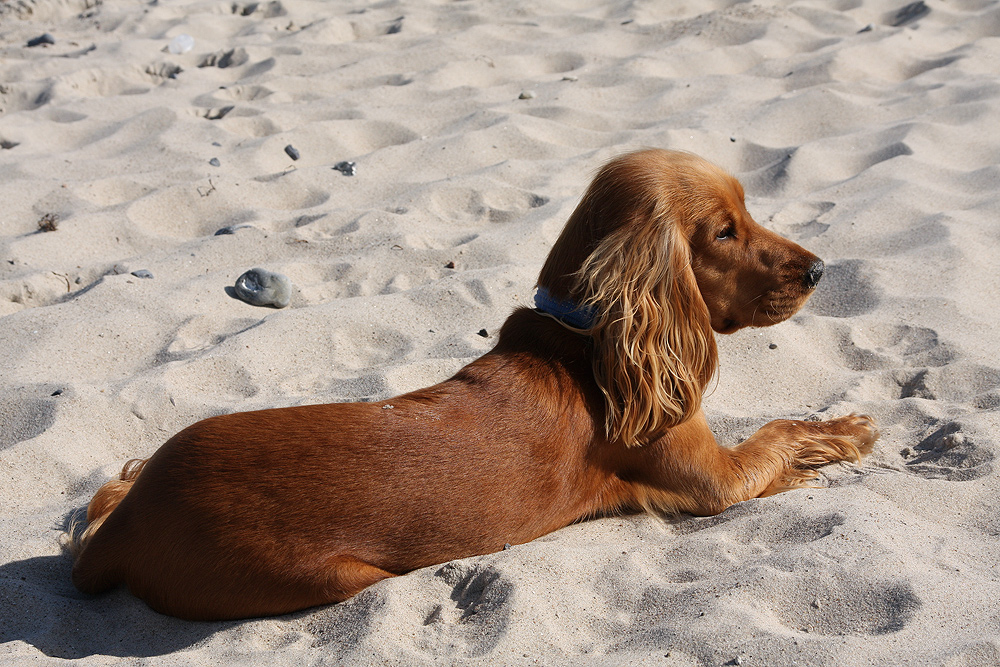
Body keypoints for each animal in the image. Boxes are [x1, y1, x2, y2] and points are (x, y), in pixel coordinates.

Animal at [70, 150, 876, 620]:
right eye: (724, 231)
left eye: (749, 213)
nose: (819, 270)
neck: (585, 333)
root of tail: (133, 525)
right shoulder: (714, 481)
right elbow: (778, 433)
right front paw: (845, 430)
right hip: (330, 577)